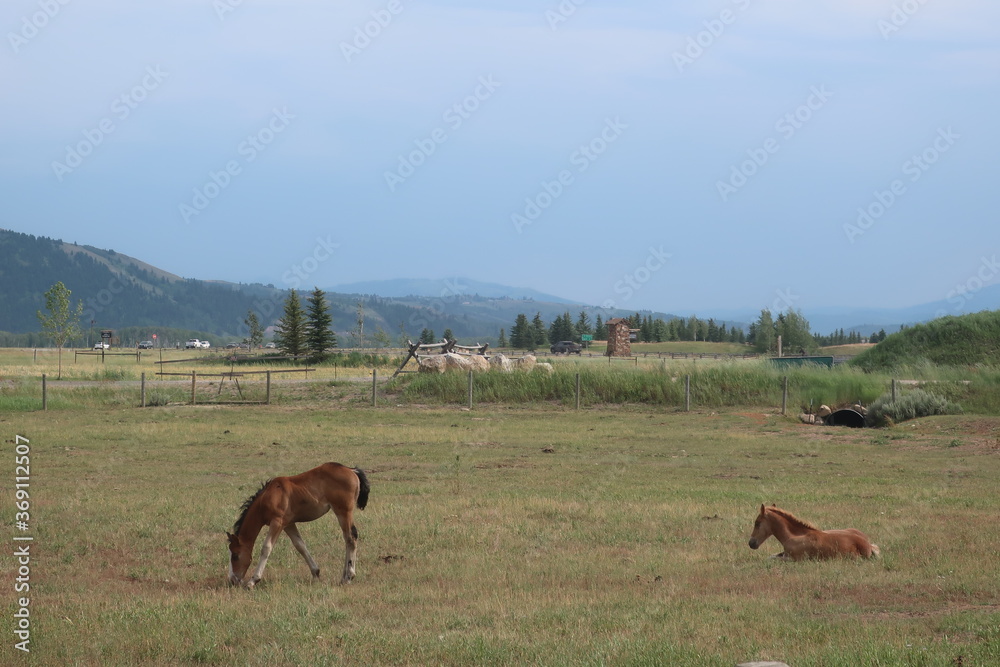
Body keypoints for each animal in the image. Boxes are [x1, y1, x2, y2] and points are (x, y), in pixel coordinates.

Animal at [228, 464, 372, 588]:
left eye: (235, 555)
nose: (232, 580)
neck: (268, 496)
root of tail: (352, 470)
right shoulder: (288, 524)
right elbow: (300, 545)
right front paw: (316, 573)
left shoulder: (277, 522)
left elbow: (266, 548)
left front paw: (253, 581)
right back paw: (343, 577)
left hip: (343, 511)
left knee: (350, 538)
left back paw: (348, 577)